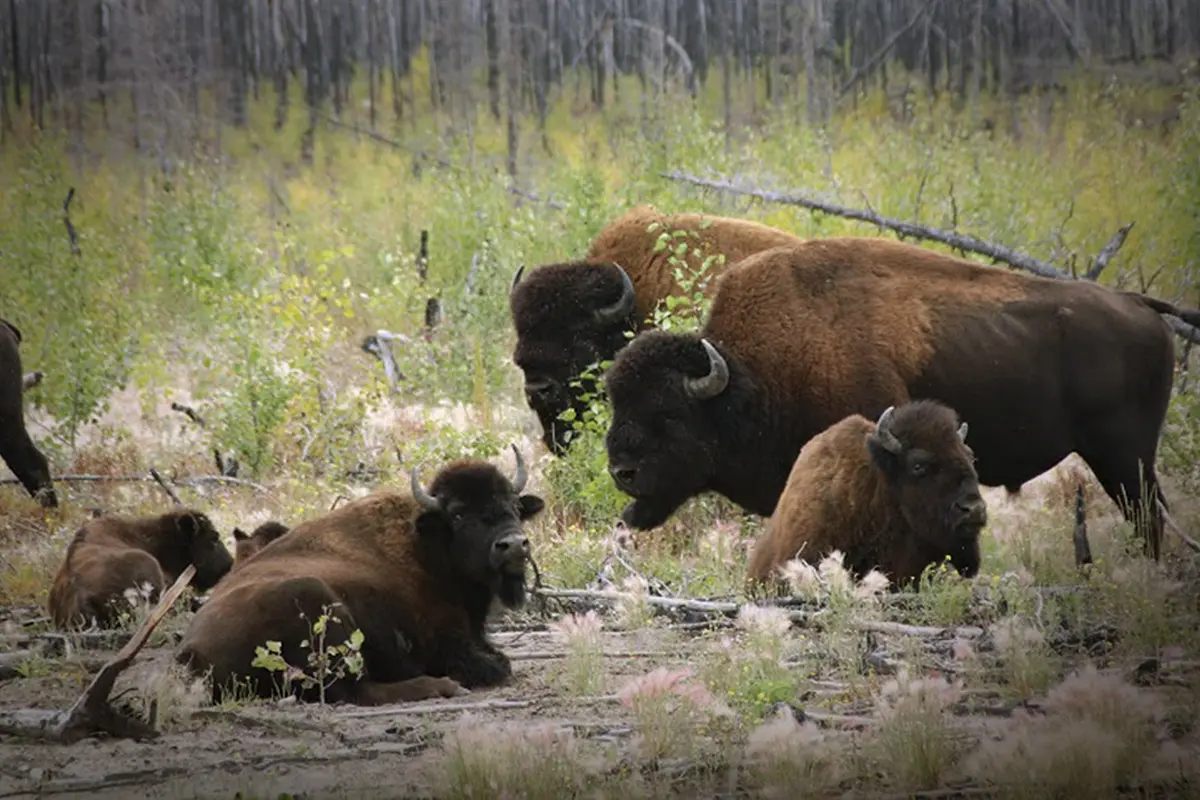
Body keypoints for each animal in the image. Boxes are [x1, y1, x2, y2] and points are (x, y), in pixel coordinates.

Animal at [175, 446, 545, 705]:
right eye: (458, 513)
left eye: (514, 505)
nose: (514, 545)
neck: (427, 544)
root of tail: (189, 654)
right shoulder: (451, 644)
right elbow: (496, 665)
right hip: (315, 598)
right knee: (354, 691)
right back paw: (443, 686)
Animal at [604, 237, 1200, 559]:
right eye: (616, 403)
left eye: (669, 413)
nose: (621, 471)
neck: (750, 378)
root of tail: (1139, 304)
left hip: (1123, 457)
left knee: (1149, 518)